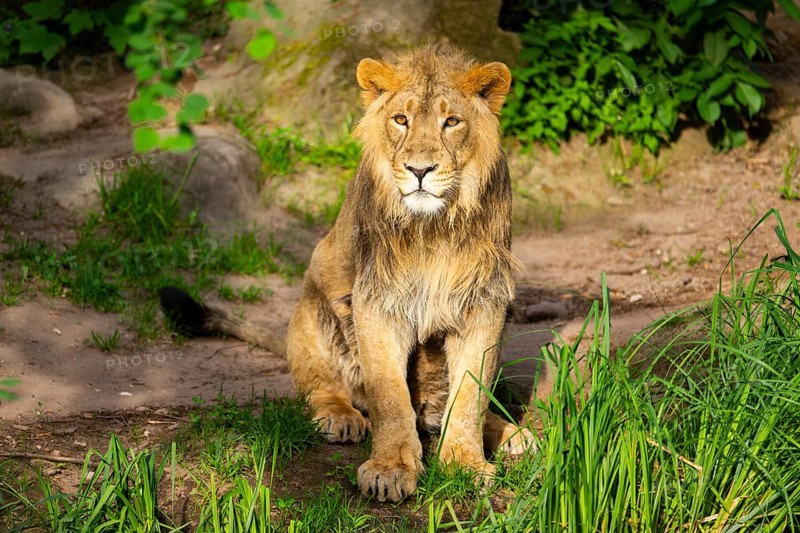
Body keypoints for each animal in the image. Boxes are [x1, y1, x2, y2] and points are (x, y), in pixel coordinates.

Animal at [160, 43, 534, 503]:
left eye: (452, 122)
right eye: (401, 119)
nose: (420, 171)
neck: (433, 229)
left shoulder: (484, 303)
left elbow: (469, 398)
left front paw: (466, 463)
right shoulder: (376, 302)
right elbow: (389, 397)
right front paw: (390, 470)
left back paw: (512, 433)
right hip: (311, 310)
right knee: (322, 386)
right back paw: (341, 417)